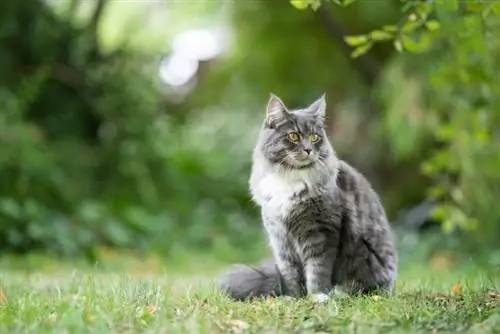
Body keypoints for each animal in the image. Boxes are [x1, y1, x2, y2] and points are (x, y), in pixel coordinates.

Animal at [219, 93, 398, 302]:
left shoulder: (321, 233)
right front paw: (294, 298)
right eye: (293, 136)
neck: (289, 178)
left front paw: (317, 296)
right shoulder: (281, 239)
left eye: (314, 137)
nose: (308, 149)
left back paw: (340, 292)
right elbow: (290, 274)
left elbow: (317, 270)